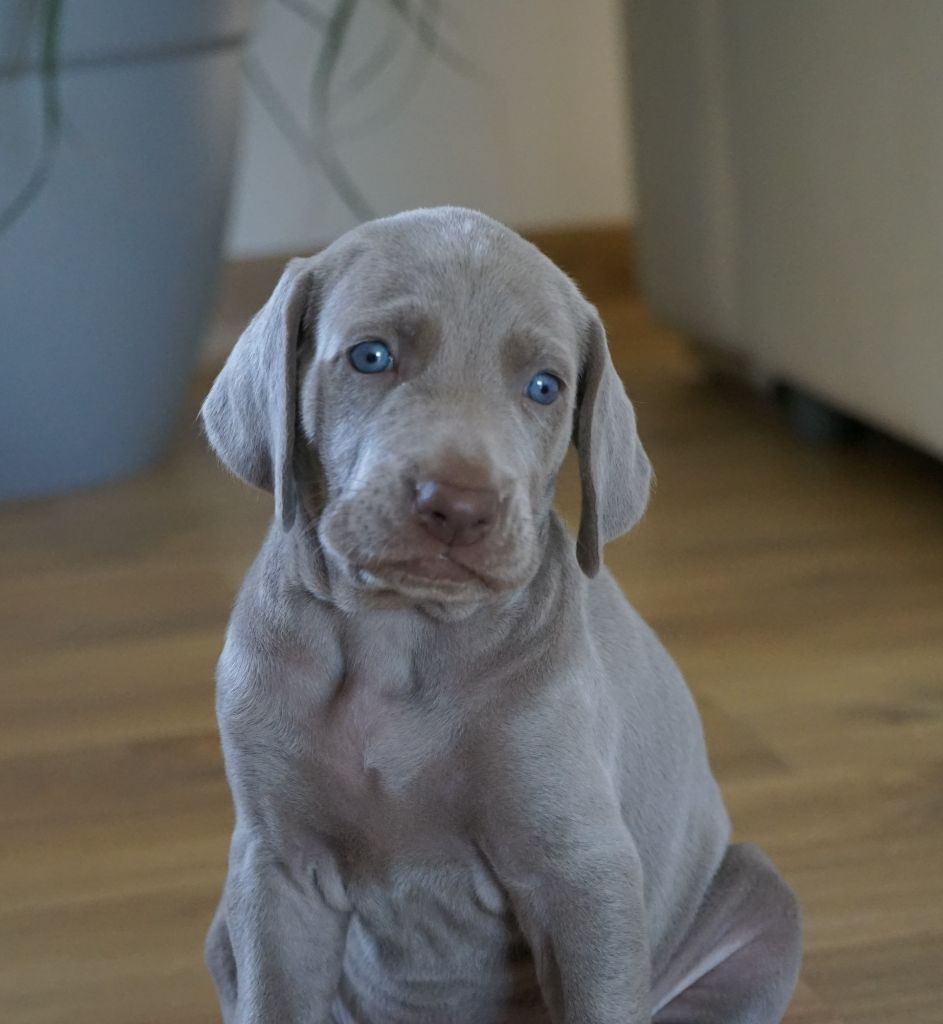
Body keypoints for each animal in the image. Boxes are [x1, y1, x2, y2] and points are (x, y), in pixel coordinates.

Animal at [200, 207, 802, 1024]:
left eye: (545, 386)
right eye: (371, 356)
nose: (459, 506)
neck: (400, 635)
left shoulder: (581, 870)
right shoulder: (277, 869)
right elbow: (274, 999)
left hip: (759, 902)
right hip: (222, 926)